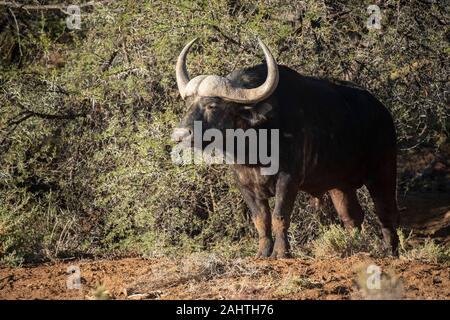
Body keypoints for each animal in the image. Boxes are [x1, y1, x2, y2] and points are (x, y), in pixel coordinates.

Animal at [173, 38, 400, 258]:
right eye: (188, 104)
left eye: (212, 105)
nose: (181, 135)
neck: (254, 148)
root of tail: (382, 111)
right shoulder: (245, 185)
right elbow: (260, 219)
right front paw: (263, 252)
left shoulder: (288, 179)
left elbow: (279, 216)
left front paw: (281, 252)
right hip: (340, 184)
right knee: (352, 217)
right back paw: (356, 248)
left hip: (382, 172)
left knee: (385, 211)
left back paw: (390, 251)